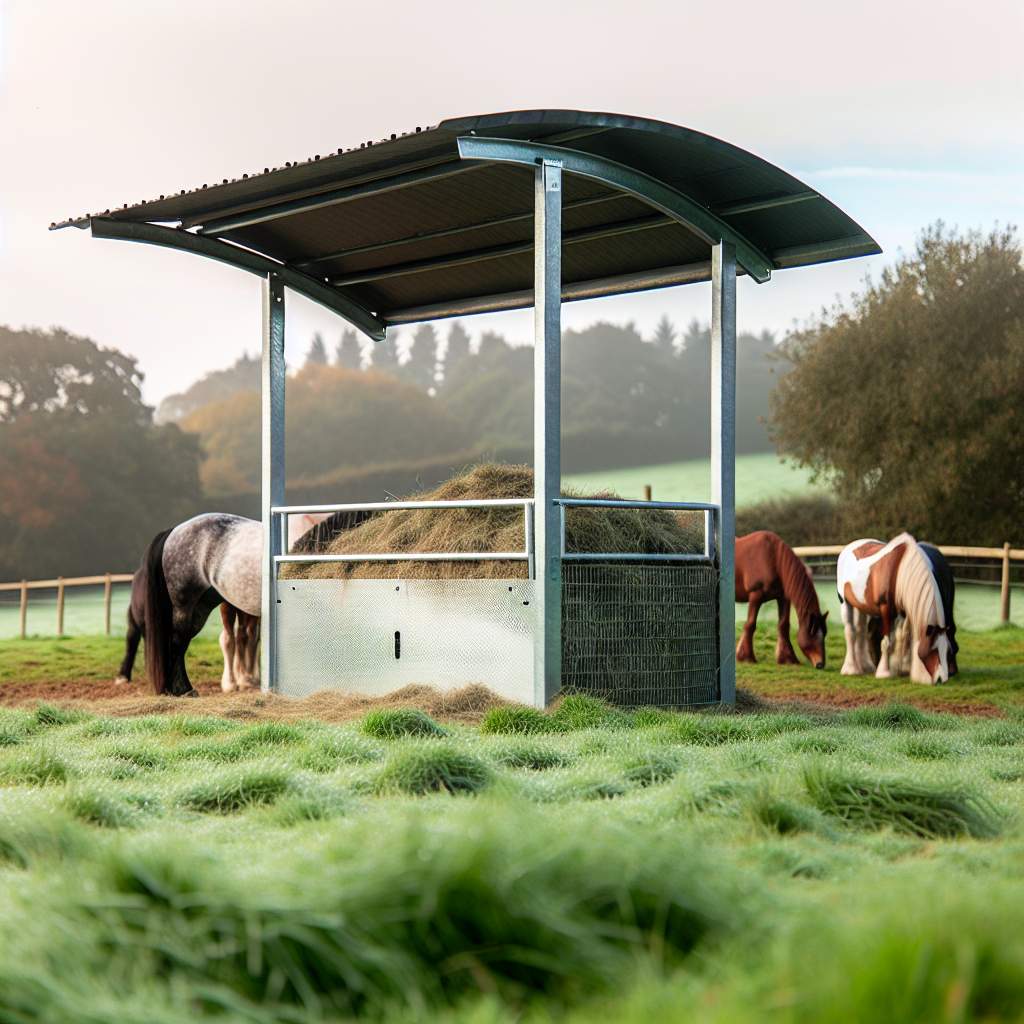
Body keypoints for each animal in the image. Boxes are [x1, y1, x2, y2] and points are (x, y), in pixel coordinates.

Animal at [733, 532, 827, 667]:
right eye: (812, 633)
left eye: (825, 633)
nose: (820, 664)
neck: (773, 558)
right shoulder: (756, 595)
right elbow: (750, 624)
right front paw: (746, 657)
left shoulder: (783, 598)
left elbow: (783, 625)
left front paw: (787, 658)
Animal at [835, 532, 946, 684]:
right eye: (934, 649)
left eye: (947, 650)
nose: (941, 679)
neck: (900, 570)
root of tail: (847, 548)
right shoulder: (886, 610)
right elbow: (887, 642)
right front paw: (884, 672)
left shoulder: (903, 612)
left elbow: (902, 636)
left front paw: (901, 668)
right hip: (845, 603)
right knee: (850, 632)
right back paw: (850, 669)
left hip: (861, 606)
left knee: (860, 631)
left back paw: (865, 666)